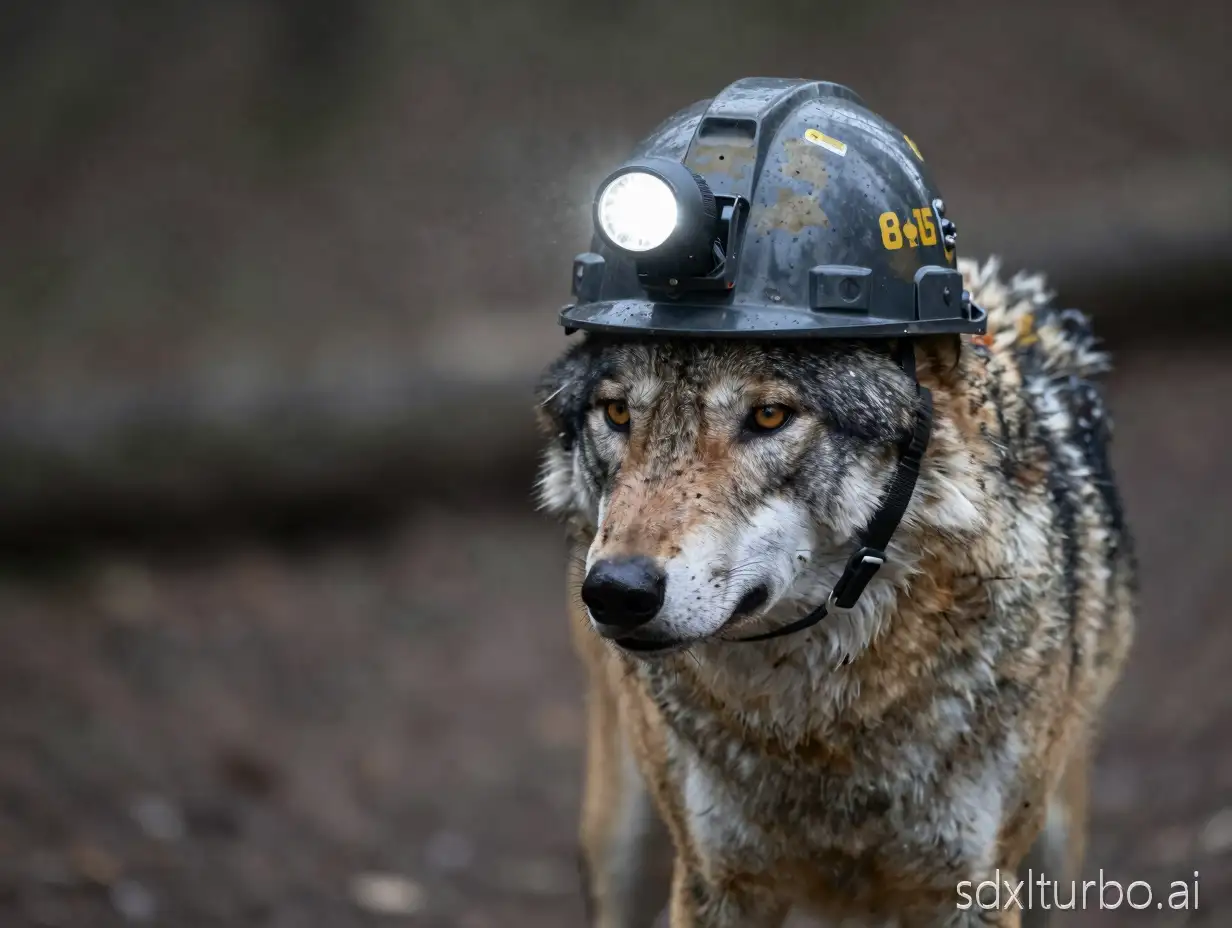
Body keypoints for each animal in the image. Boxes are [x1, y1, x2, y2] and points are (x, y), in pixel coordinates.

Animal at [534, 256, 1136, 928]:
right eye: (616, 414)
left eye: (769, 417)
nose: (617, 591)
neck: (824, 731)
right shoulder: (715, 881)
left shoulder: (972, 887)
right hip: (623, 840)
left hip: (1051, 852)